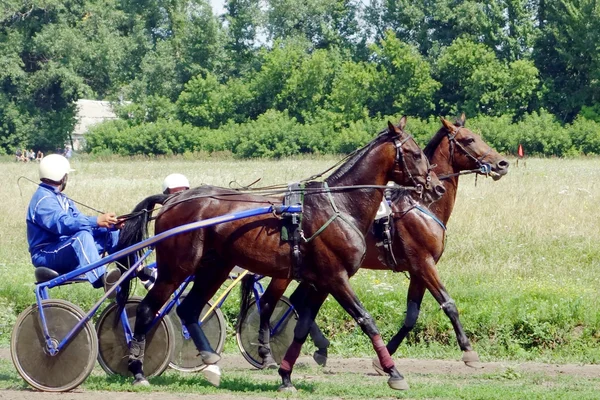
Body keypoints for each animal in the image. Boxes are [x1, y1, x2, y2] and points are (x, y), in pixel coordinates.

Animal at [116, 117, 446, 392]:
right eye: (415, 153)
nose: (437, 187)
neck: (340, 205)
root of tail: (174, 201)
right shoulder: (336, 278)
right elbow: (366, 320)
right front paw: (394, 373)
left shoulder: (320, 282)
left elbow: (301, 328)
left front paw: (286, 376)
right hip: (177, 268)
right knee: (147, 310)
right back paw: (138, 370)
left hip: (214, 267)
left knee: (188, 309)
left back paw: (209, 361)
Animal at [241, 112, 508, 368]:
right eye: (470, 139)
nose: (502, 163)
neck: (420, 205)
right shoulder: (424, 263)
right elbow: (448, 304)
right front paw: (468, 351)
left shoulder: (418, 268)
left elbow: (412, 316)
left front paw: (383, 359)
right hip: (286, 270)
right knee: (269, 304)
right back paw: (267, 350)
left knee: (295, 302)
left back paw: (318, 348)